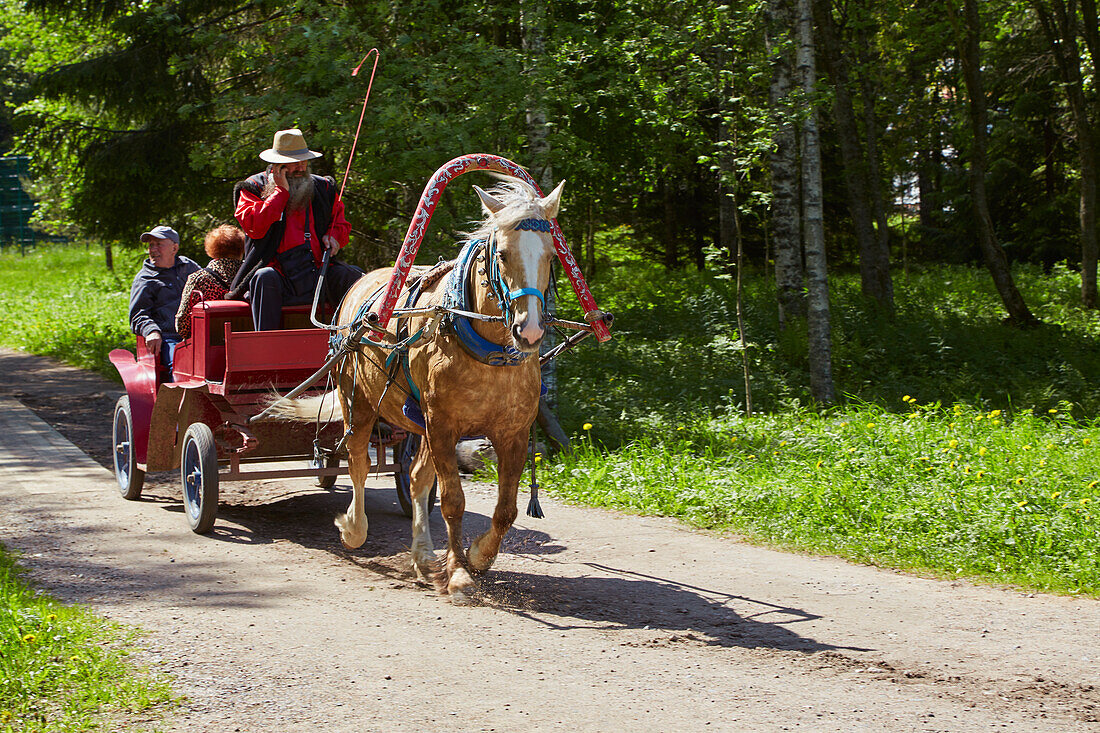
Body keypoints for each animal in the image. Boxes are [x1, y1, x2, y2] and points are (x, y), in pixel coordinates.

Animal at [271, 178, 563, 598]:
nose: (531, 330)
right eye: (503, 255)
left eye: (552, 256)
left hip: (421, 426)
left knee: (416, 477)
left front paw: (478, 556)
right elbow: (453, 501)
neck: (484, 349)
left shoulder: (513, 433)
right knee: (358, 464)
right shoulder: (442, 426)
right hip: (358, 402)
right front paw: (458, 573)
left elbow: (505, 508)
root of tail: (360, 285)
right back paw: (354, 530)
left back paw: (423, 554)